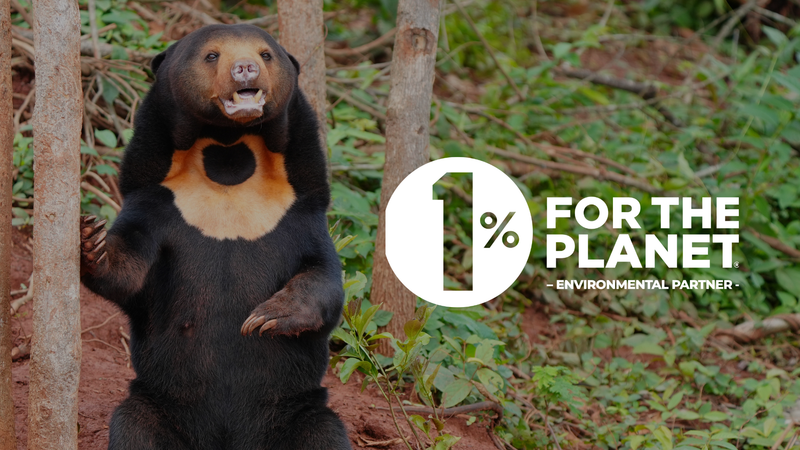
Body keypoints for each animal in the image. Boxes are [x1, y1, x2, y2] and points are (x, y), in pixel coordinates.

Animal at [78, 24, 351, 450]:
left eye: (265, 54)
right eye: (212, 55)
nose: (246, 69)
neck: (228, 154)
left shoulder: (300, 208)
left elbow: (324, 275)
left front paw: (266, 317)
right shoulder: (156, 198)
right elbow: (131, 270)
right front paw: (91, 239)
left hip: (296, 409)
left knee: (323, 433)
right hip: (160, 402)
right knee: (134, 426)